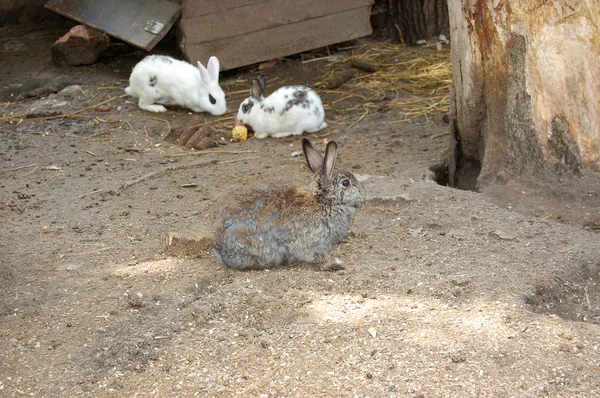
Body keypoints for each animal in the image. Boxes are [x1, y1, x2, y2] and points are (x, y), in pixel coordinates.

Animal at [216, 138, 366, 268]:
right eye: (346, 183)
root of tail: (220, 247)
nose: (363, 196)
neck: (323, 202)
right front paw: (335, 264)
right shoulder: (309, 244)